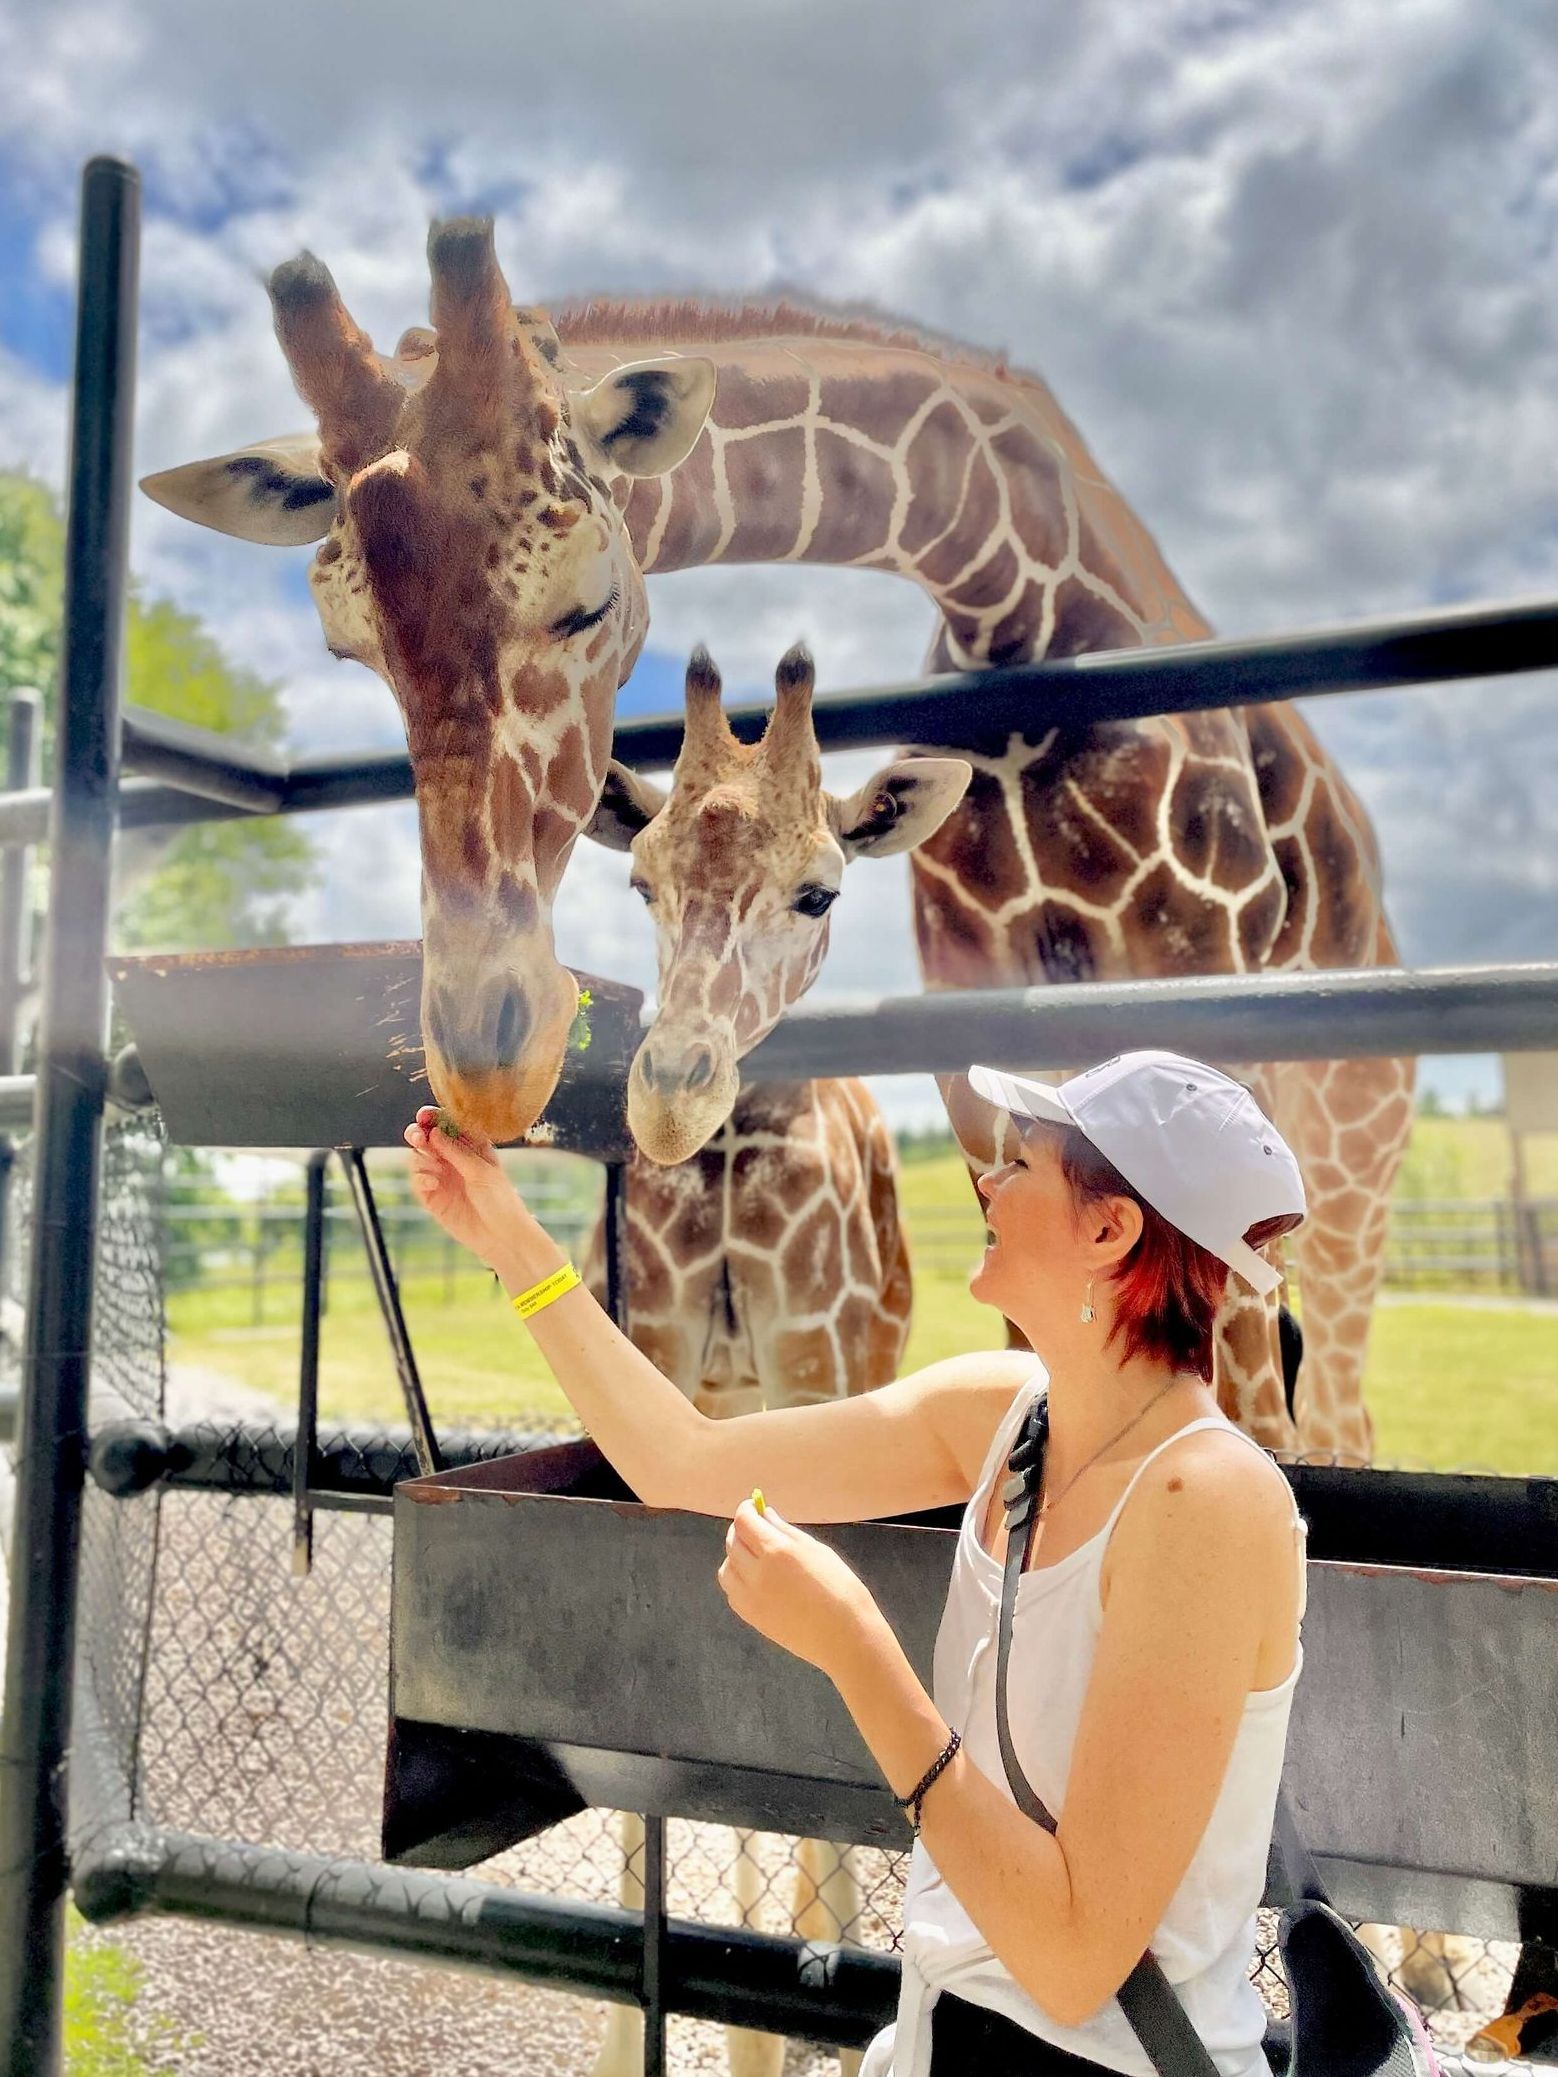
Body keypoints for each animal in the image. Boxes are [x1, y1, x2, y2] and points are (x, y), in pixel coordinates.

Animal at [143, 236, 1411, 1457]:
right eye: (346, 641)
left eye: (586, 601)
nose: (487, 1063)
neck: (1022, 601)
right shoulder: (971, 1050)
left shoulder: (1204, 988)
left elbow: (1237, 1383)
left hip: (1344, 1164)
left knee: (1326, 1398)